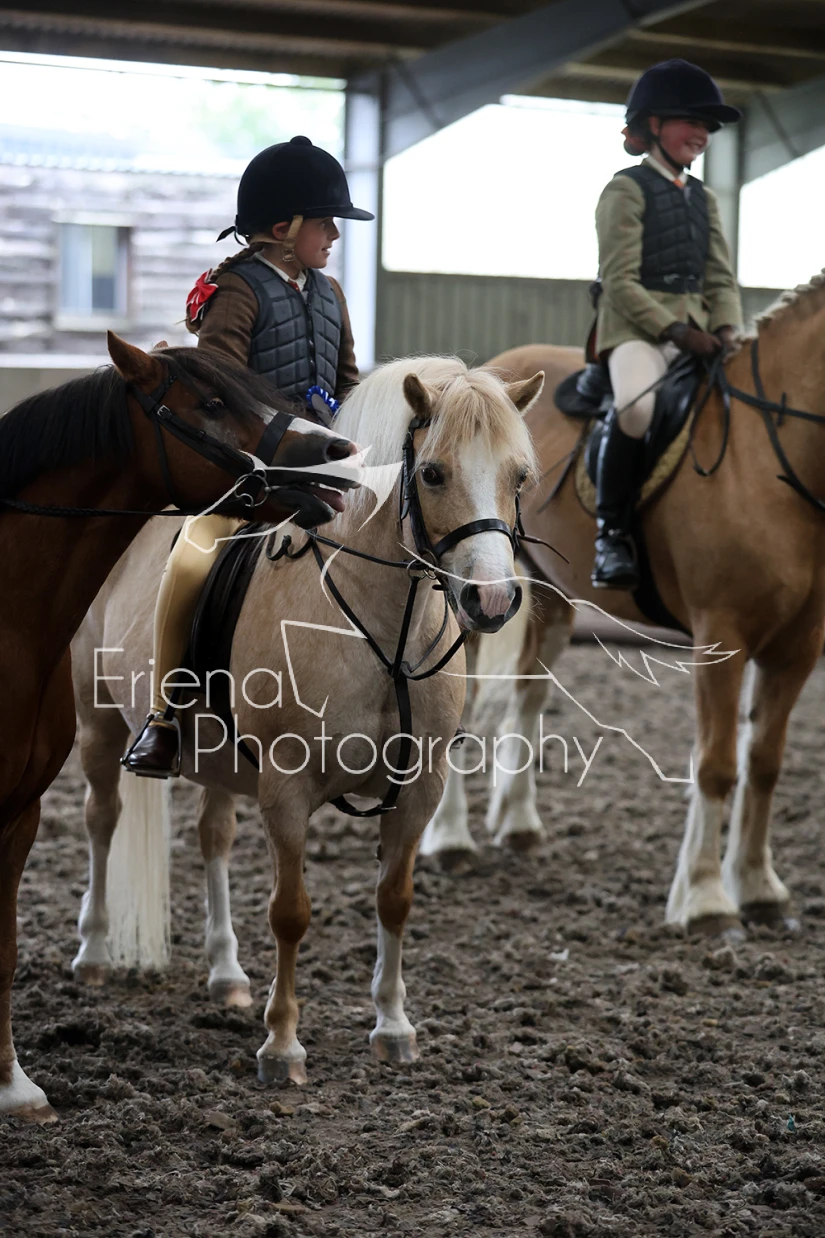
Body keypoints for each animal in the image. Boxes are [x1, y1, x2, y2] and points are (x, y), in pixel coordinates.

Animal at [70, 355, 543, 1088]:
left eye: (518, 476)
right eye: (434, 473)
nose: (491, 600)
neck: (383, 627)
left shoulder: (421, 789)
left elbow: (394, 899)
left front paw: (393, 1028)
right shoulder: (286, 789)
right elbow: (290, 913)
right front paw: (282, 1045)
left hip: (219, 759)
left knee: (213, 836)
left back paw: (226, 973)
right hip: (97, 722)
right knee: (101, 820)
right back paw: (92, 953)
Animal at [422, 273, 825, 940]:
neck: (772, 463)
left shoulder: (797, 647)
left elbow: (764, 764)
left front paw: (759, 890)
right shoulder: (723, 637)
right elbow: (718, 765)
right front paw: (707, 899)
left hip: (550, 597)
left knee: (528, 696)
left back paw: (519, 824)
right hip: (474, 599)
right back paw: (450, 839)